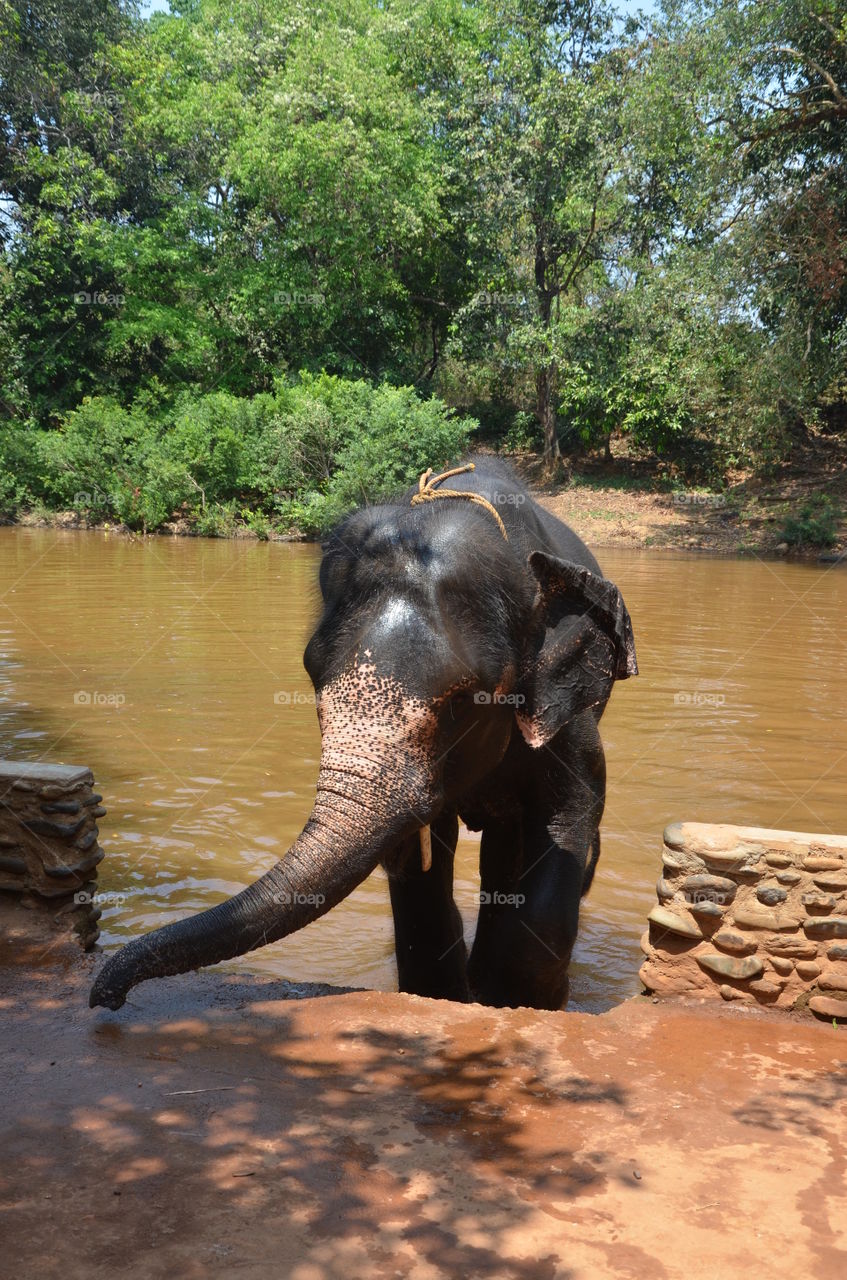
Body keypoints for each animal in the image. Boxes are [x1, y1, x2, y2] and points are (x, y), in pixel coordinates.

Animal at [90, 457, 637, 1013]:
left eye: (466, 699)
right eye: (311, 675)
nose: (107, 997)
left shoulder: (566, 718)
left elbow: (571, 815)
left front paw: (511, 1001)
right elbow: (416, 869)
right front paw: (448, 996)